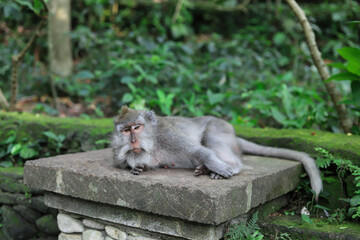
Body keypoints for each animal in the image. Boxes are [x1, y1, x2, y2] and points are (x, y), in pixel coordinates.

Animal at [111, 106, 322, 199]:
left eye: (137, 127)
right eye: (126, 130)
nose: (132, 140)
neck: (153, 141)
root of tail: (236, 136)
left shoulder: (167, 135)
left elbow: (198, 150)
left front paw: (216, 166)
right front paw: (136, 168)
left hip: (221, 127)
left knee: (211, 136)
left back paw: (226, 166)